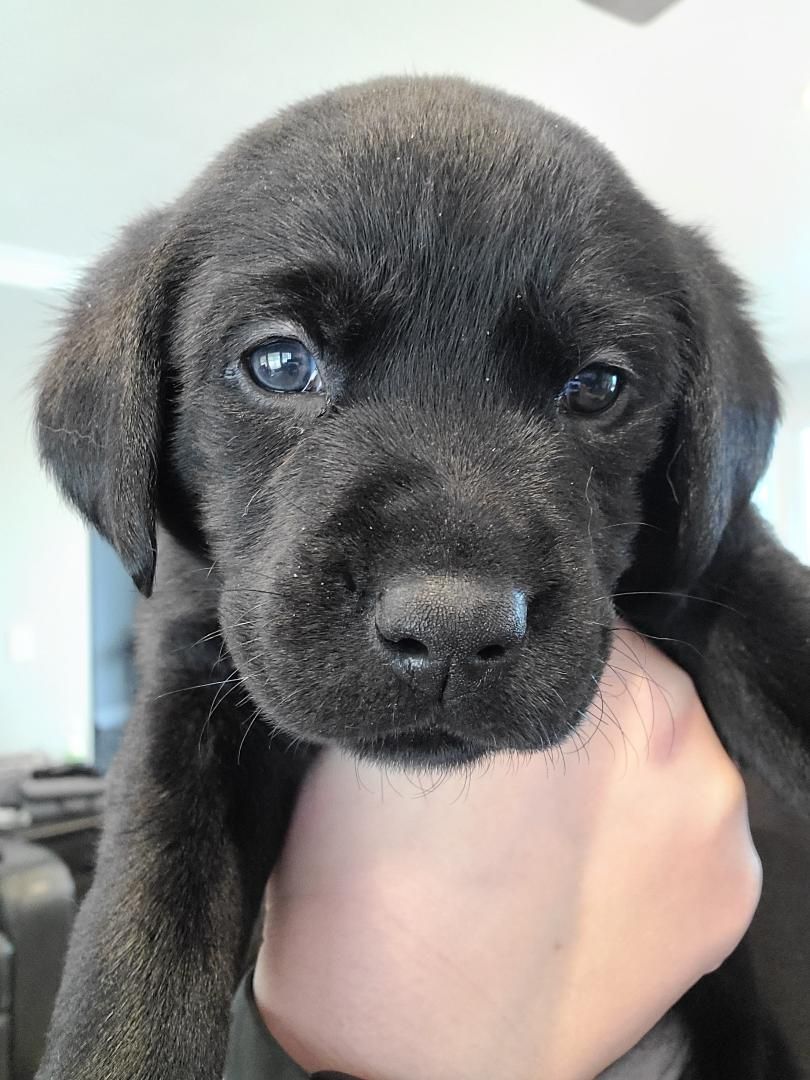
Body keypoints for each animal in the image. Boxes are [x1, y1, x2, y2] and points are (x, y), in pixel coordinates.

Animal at [35, 76, 810, 1079]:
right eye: (279, 361)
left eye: (599, 386)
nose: (449, 628)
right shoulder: (187, 673)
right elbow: (149, 911)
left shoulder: (722, 562)